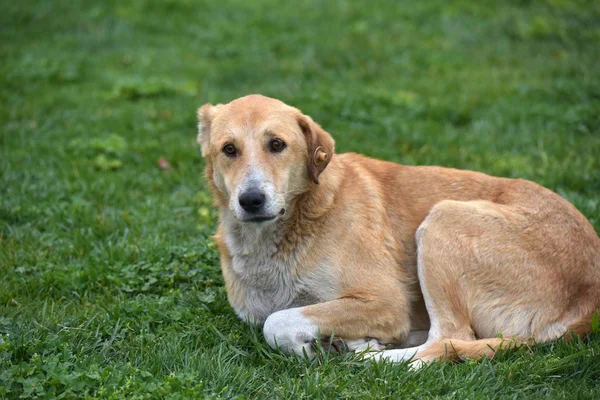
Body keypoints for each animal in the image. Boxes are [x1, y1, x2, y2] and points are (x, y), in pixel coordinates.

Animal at [197, 93, 600, 366]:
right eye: (229, 149)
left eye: (277, 144)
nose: (251, 200)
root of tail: (589, 299)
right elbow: (277, 320)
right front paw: (327, 342)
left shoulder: (384, 301)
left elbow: (277, 321)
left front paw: (326, 345)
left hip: (442, 220)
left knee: (448, 340)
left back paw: (368, 360)